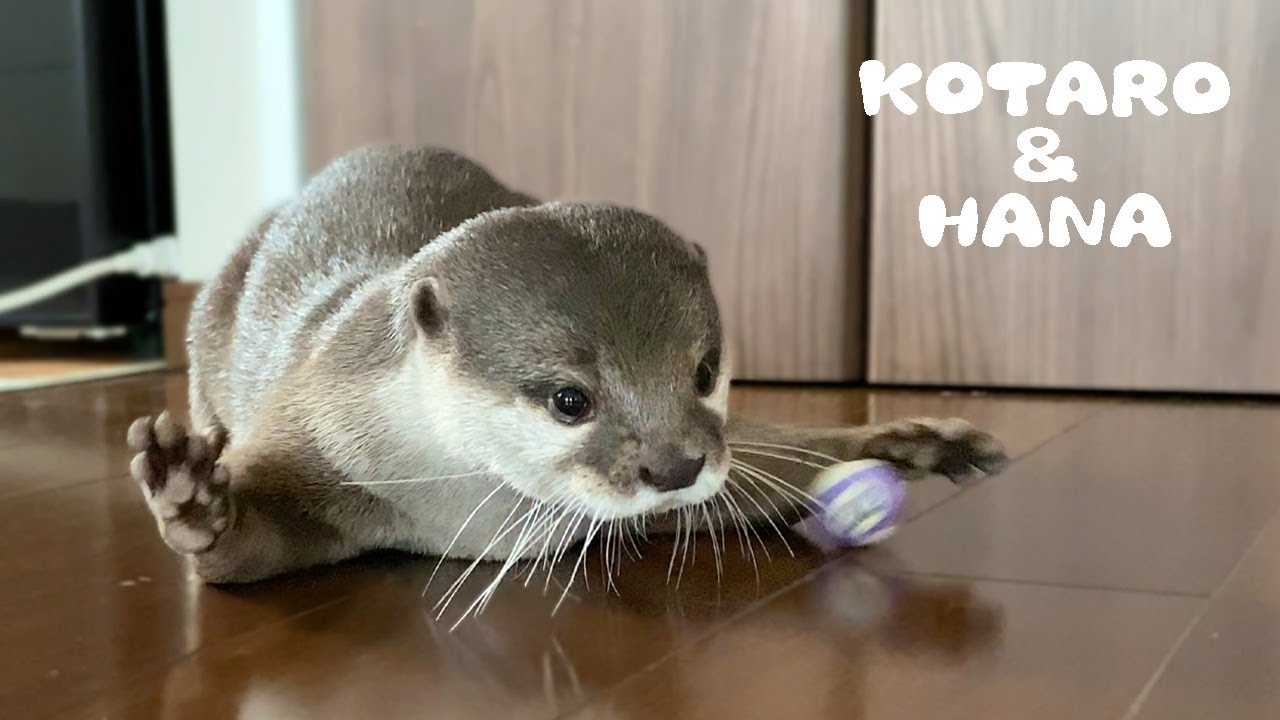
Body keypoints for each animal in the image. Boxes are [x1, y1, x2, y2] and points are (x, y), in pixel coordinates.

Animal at [126, 146, 1008, 586]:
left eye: (703, 370)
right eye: (568, 400)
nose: (675, 465)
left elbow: (760, 471)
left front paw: (910, 441)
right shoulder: (317, 437)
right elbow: (241, 558)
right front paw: (194, 501)